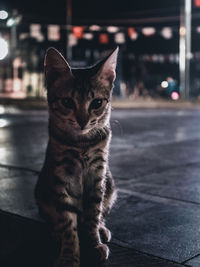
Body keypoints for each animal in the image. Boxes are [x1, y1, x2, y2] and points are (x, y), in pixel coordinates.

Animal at [34, 47, 119, 266]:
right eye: (67, 102)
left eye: (97, 103)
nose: (82, 121)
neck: (81, 144)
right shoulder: (61, 174)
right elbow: (67, 223)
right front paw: (68, 255)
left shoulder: (98, 173)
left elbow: (93, 214)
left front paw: (94, 243)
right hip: (41, 191)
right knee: (53, 219)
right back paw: (55, 232)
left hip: (111, 186)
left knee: (101, 213)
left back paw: (102, 229)